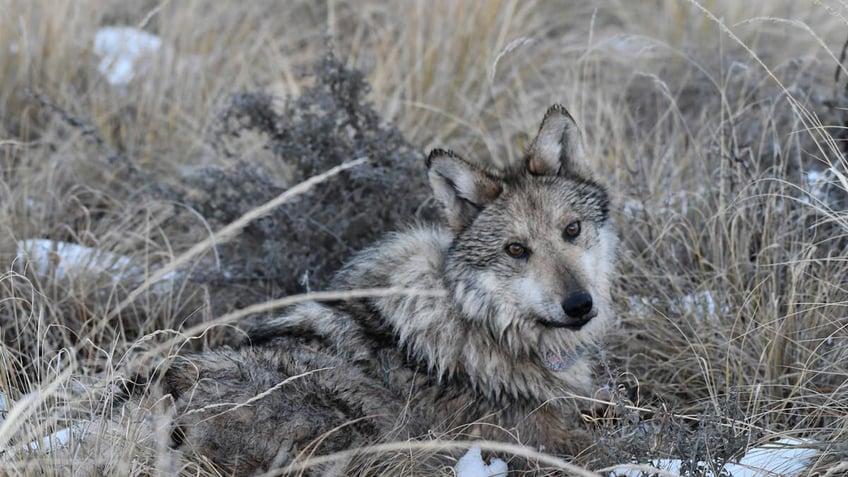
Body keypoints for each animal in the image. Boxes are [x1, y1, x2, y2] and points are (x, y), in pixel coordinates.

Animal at [162, 104, 620, 472]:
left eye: (572, 230)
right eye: (516, 249)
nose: (579, 304)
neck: (482, 323)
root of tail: (175, 390)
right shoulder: (542, 440)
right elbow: (600, 445)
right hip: (359, 421)